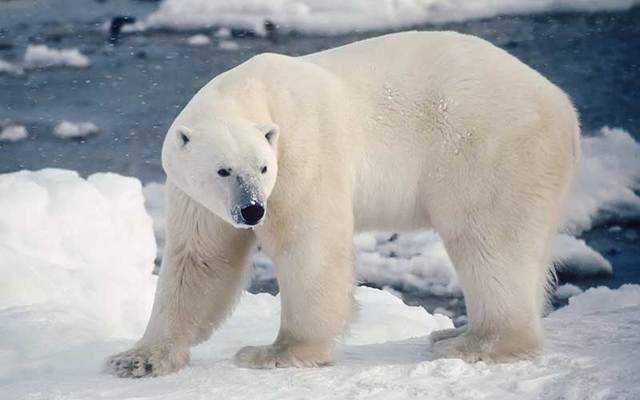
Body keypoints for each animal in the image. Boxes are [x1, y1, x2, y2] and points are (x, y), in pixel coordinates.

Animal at [105, 31, 580, 377]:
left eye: (262, 167)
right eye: (224, 170)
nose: (253, 210)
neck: (254, 91)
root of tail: (563, 106)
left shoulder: (303, 151)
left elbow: (308, 244)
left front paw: (277, 351)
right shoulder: (195, 195)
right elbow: (201, 260)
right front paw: (138, 358)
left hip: (489, 147)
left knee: (489, 240)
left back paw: (474, 341)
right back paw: (454, 334)